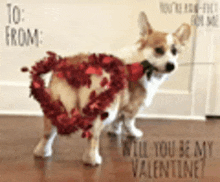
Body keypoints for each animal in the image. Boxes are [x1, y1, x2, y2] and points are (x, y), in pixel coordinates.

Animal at [33, 11, 191, 165]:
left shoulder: (121, 105)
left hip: (55, 107)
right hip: (101, 111)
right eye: (158, 50)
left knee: (48, 133)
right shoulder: (132, 108)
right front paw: (134, 133)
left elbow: (118, 121)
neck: (144, 62)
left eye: (175, 52)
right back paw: (93, 159)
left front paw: (114, 131)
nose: (171, 65)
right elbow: (129, 123)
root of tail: (76, 68)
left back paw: (42, 152)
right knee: (93, 137)